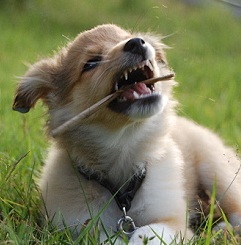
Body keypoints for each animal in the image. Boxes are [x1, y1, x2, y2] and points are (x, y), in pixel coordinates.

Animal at [13, 23, 241, 244]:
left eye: (126, 37)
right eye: (90, 63)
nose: (137, 43)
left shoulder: (173, 221)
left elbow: (149, 233)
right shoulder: (77, 224)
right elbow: (105, 238)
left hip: (217, 171)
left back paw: (223, 230)